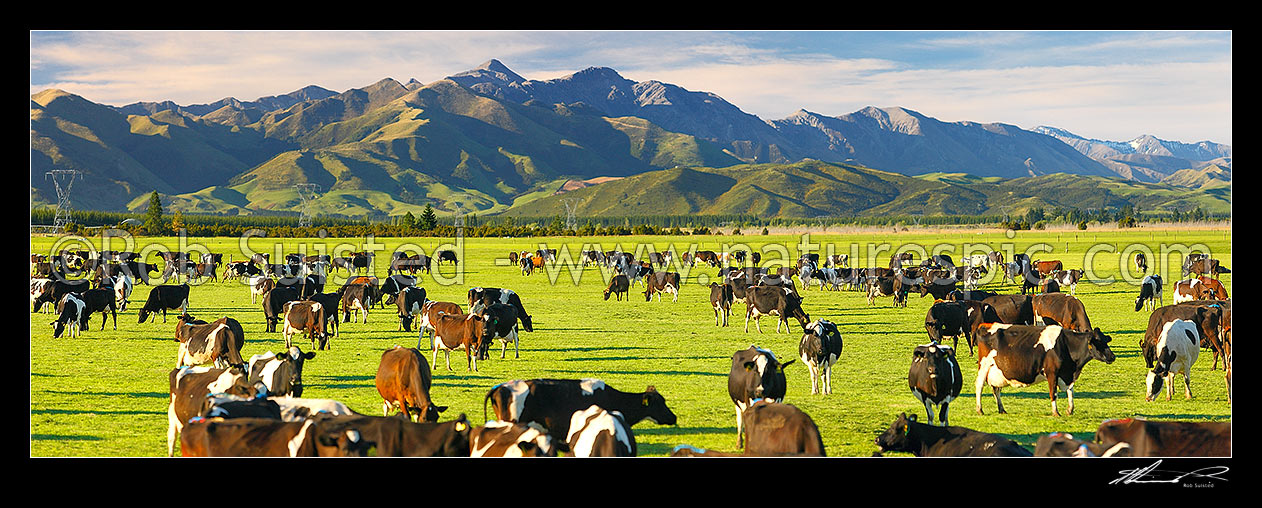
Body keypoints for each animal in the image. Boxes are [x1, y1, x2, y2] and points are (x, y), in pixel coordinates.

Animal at [974, 325, 1115, 418]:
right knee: (979, 386)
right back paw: (980, 409)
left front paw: (1070, 410)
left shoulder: (1066, 375)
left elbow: (1071, 391)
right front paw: (1056, 412)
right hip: (984, 366)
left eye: (1106, 341)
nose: (1112, 357)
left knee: (996, 389)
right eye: (1098, 342)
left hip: (996, 371)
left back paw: (1002, 409)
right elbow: (1054, 393)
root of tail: (985, 326)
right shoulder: (1052, 372)